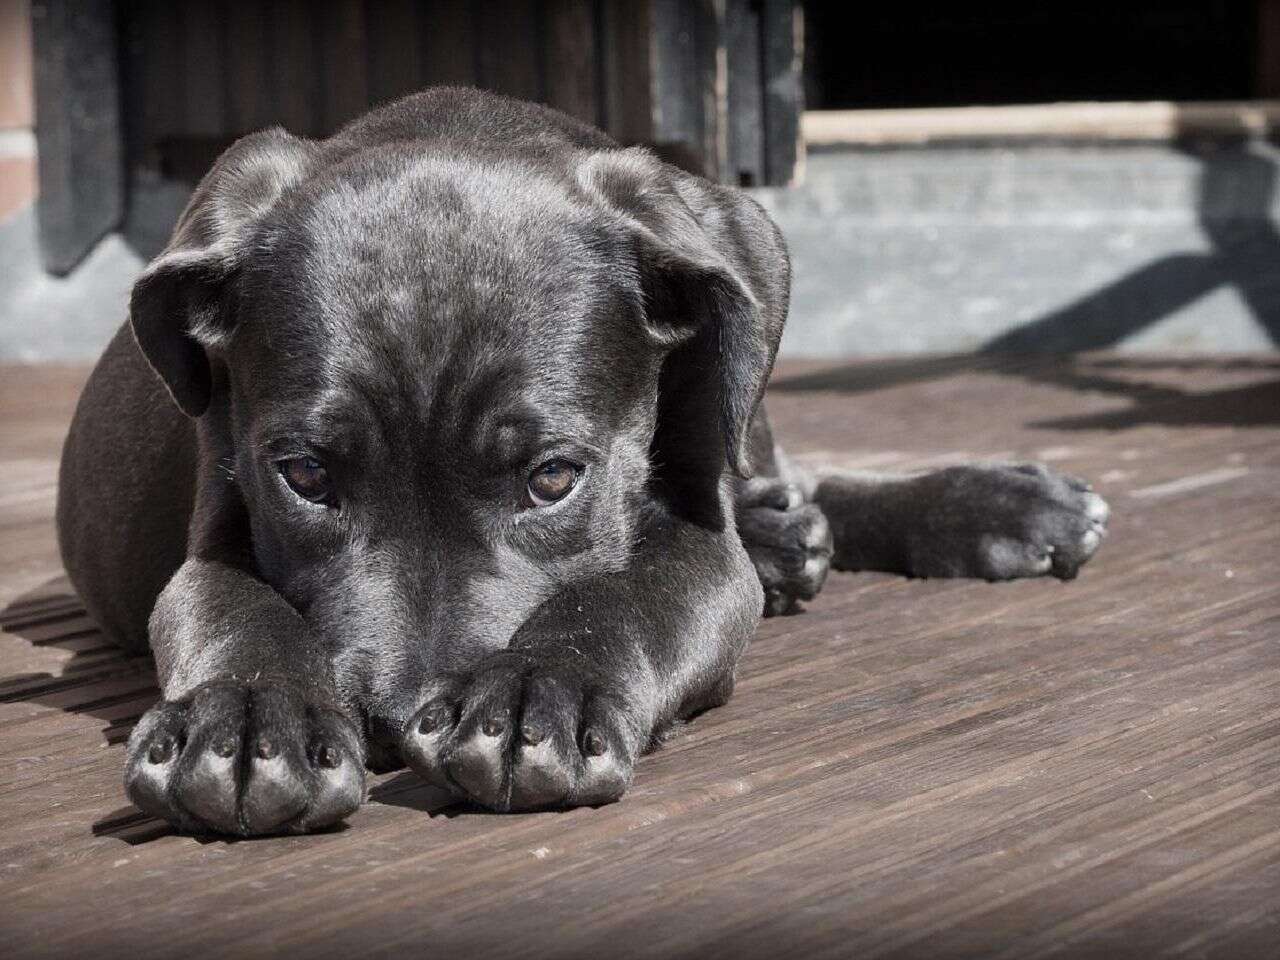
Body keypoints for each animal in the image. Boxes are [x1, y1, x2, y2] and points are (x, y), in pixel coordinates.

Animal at [55, 88, 1105, 834]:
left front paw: (535, 692)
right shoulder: (217, 522)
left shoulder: (697, 543)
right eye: (306, 477)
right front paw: (244, 719)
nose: (395, 723)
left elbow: (625, 594)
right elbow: (231, 606)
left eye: (553, 478)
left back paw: (992, 506)